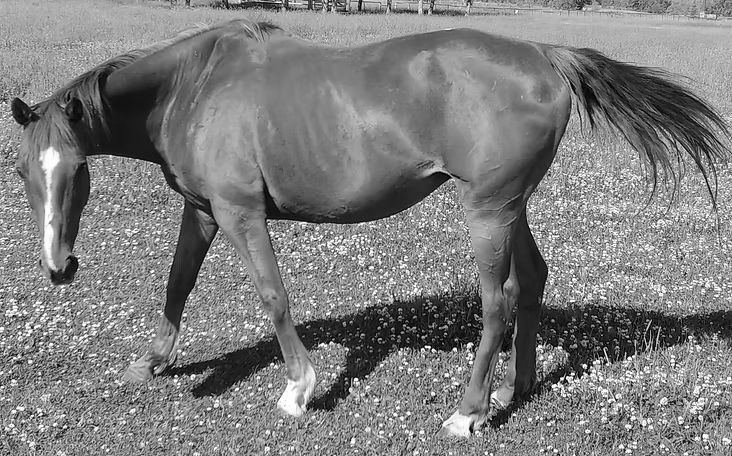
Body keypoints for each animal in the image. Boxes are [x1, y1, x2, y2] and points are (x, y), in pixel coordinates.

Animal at [10, 19, 729, 438]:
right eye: (21, 171)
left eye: (76, 171)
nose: (57, 267)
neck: (197, 85)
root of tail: (545, 55)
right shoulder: (204, 210)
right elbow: (177, 283)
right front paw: (152, 362)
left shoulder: (241, 213)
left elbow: (274, 297)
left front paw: (299, 389)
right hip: (511, 205)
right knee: (533, 281)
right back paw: (518, 386)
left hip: (487, 212)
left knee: (498, 300)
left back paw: (469, 411)